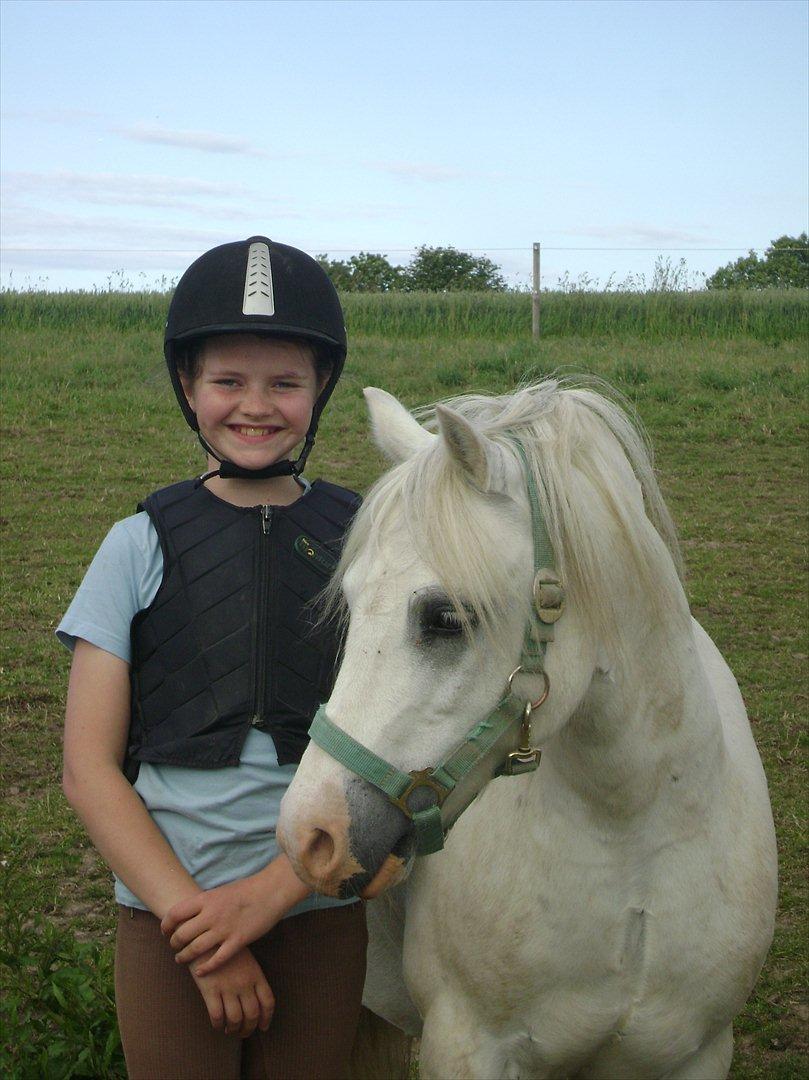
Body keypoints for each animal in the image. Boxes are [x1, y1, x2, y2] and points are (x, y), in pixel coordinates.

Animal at [278, 380, 777, 1080]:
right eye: (348, 604)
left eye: (444, 617)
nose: (311, 834)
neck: (633, 838)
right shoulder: (467, 1046)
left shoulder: (698, 1053)